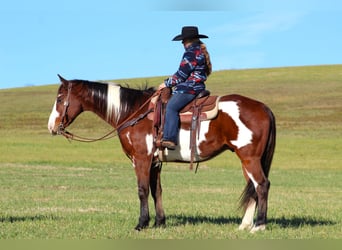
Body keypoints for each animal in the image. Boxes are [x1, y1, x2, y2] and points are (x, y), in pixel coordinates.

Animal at [48, 74, 276, 232]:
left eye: (59, 99)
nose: (52, 126)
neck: (133, 112)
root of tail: (263, 107)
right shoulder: (155, 163)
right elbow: (156, 191)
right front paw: (159, 222)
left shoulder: (140, 159)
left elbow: (142, 190)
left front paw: (141, 224)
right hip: (247, 160)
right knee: (253, 188)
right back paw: (244, 225)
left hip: (249, 158)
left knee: (262, 185)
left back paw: (259, 226)